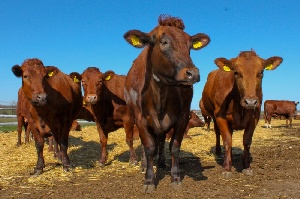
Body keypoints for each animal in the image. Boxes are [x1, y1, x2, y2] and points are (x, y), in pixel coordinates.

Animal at [123, 14, 210, 192]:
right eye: (164, 42)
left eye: (189, 45)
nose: (192, 73)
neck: (160, 93)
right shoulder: (141, 118)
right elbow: (149, 147)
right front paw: (149, 180)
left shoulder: (182, 117)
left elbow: (174, 147)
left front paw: (175, 177)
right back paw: (143, 163)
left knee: (162, 140)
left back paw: (162, 162)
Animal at [200, 49, 282, 177]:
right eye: (237, 72)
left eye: (261, 72)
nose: (250, 102)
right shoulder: (220, 116)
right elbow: (227, 141)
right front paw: (227, 168)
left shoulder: (254, 117)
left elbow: (247, 142)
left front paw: (247, 166)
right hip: (212, 115)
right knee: (218, 133)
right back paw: (219, 152)